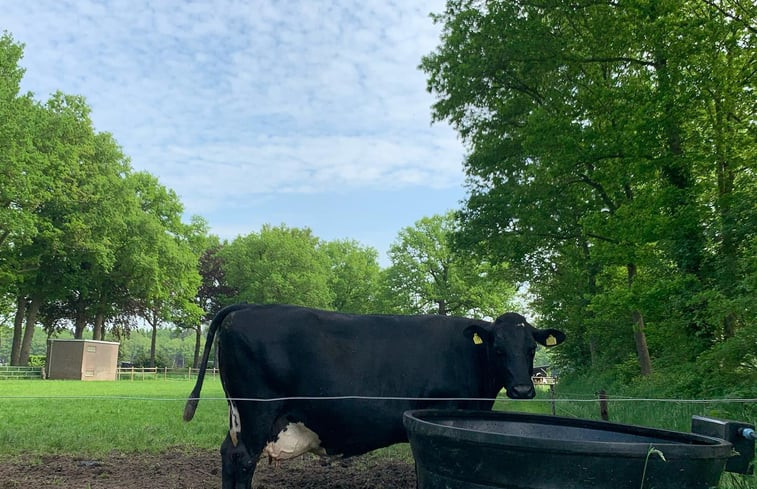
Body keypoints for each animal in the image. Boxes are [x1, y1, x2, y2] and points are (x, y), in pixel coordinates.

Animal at [183, 304, 560, 486]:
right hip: (258, 412)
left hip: (242, 417)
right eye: (498, 348)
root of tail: (248, 307)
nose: (523, 389)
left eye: (531, 349)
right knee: (243, 460)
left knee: (228, 454)